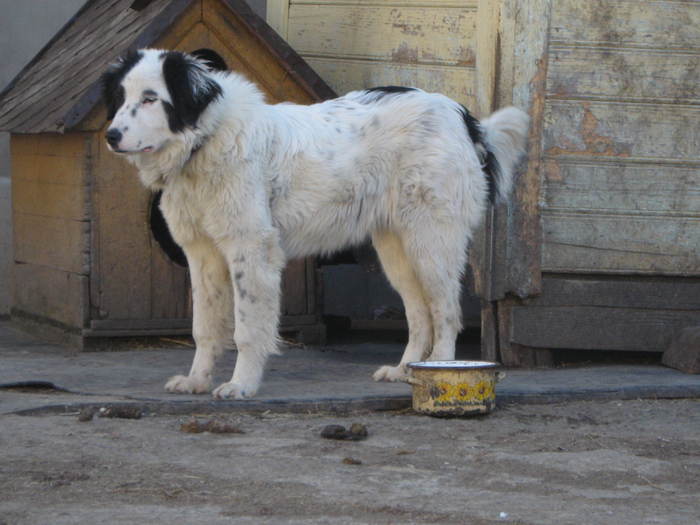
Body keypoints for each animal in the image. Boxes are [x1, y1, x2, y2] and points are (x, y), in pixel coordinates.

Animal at [98, 49, 524, 400]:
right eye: (120, 98)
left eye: (151, 98)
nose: (110, 136)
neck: (206, 140)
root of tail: (461, 116)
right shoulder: (201, 255)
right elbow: (204, 327)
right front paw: (197, 380)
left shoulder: (252, 251)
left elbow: (247, 329)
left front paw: (242, 385)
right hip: (396, 250)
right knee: (419, 315)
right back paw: (406, 370)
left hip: (431, 243)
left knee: (446, 312)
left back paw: (442, 371)